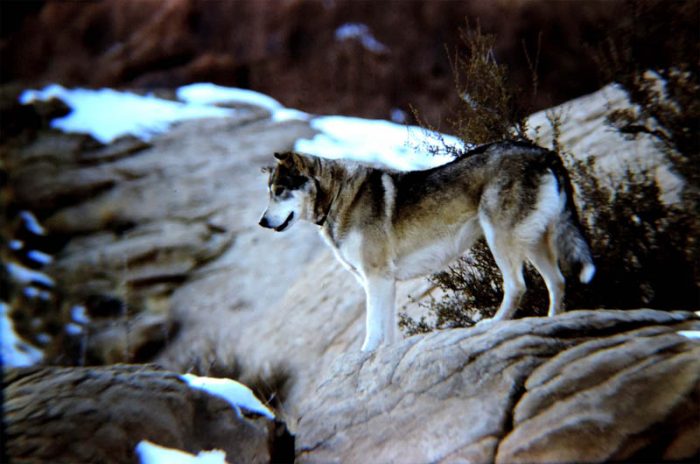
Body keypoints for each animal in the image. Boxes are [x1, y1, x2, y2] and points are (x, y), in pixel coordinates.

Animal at [260, 141, 592, 352]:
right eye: (269, 192)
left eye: (280, 191)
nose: (262, 222)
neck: (338, 197)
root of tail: (544, 152)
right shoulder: (384, 283)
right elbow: (388, 333)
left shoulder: (376, 278)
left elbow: (372, 329)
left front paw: (365, 355)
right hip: (533, 243)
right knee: (558, 282)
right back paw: (553, 324)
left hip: (500, 240)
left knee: (518, 286)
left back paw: (492, 324)